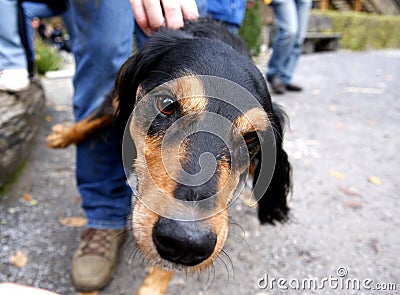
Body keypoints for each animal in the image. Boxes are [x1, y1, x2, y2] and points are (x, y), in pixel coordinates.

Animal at [47, 19, 290, 294]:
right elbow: (92, 118)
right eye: (166, 104)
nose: (187, 242)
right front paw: (65, 135)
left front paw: (152, 287)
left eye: (250, 139)